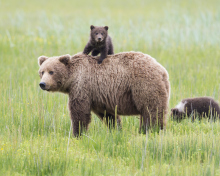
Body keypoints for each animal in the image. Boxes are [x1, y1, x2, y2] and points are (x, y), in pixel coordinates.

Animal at [37, 51, 170, 137]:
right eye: (42, 72)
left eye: (51, 72)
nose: (42, 84)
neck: (72, 78)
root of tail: (162, 70)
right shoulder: (99, 95)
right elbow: (108, 115)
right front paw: (116, 130)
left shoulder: (82, 86)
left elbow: (79, 112)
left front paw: (77, 134)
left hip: (143, 85)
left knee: (151, 110)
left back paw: (152, 130)